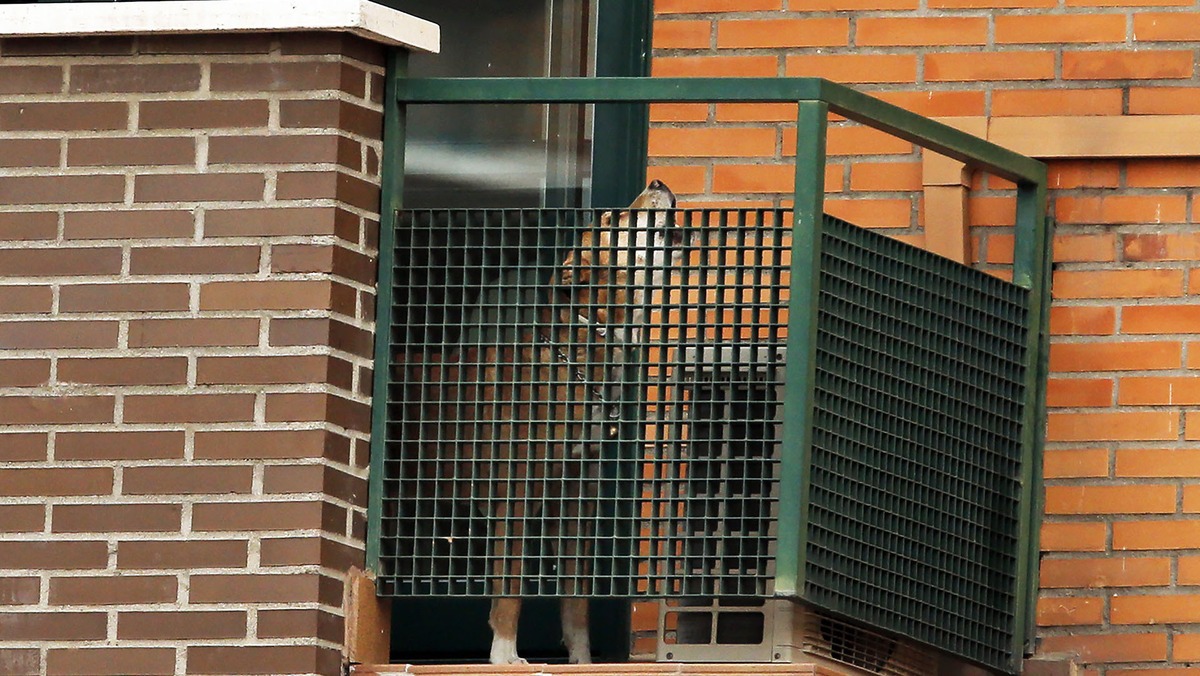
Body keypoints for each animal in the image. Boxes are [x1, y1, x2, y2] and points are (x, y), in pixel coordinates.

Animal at [465, 180, 696, 667]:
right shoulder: (513, 499)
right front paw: (504, 656)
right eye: (611, 220)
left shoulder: (574, 502)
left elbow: (576, 598)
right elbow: (510, 590)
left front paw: (583, 661)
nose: (658, 183)